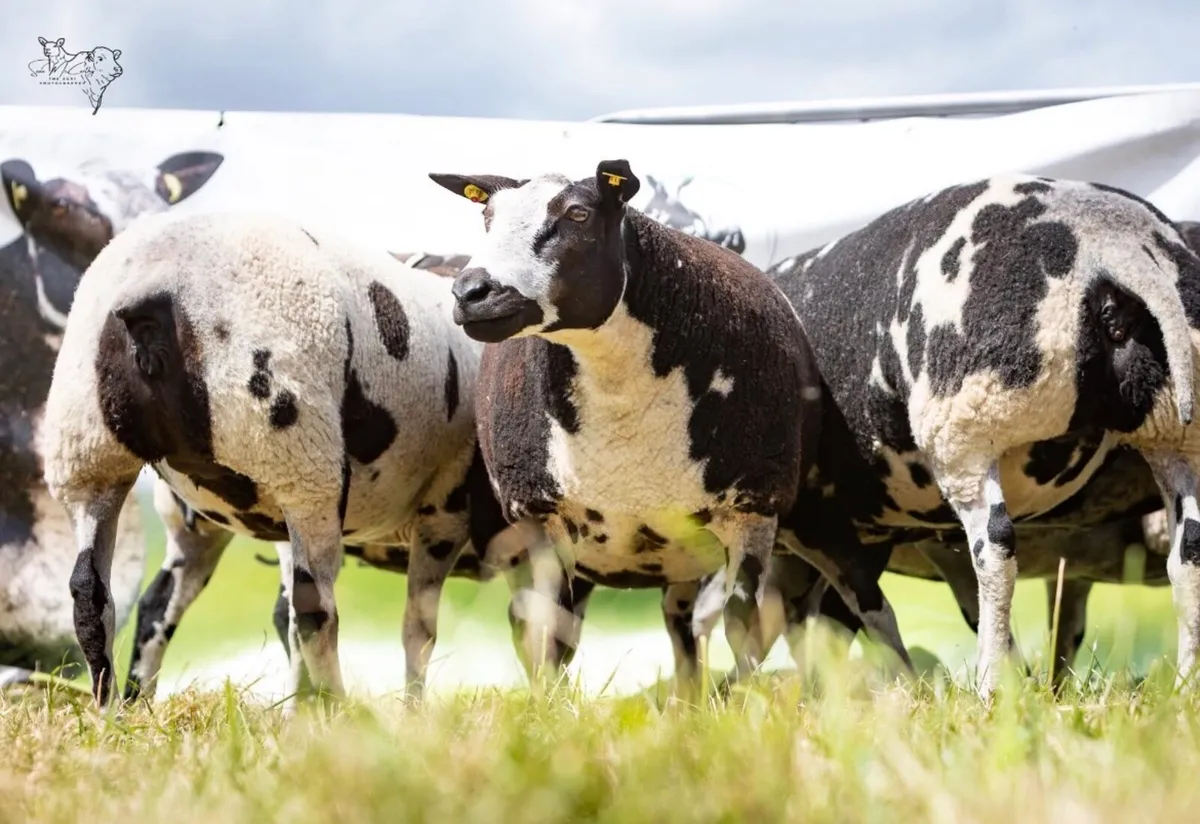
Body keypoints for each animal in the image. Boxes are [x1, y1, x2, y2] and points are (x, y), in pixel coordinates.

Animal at [427, 158, 913, 690]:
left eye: (578, 214)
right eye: (487, 216)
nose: (472, 293)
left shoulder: (751, 509)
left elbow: (742, 625)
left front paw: (747, 703)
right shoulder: (537, 515)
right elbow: (545, 633)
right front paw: (546, 704)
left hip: (809, 507)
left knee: (868, 604)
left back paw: (912, 685)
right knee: (674, 627)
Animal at [762, 173, 1199, 698]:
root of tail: (1115, 245)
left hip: (966, 428)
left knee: (994, 556)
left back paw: (989, 686)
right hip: (1172, 432)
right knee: (1188, 554)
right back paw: (1185, 685)